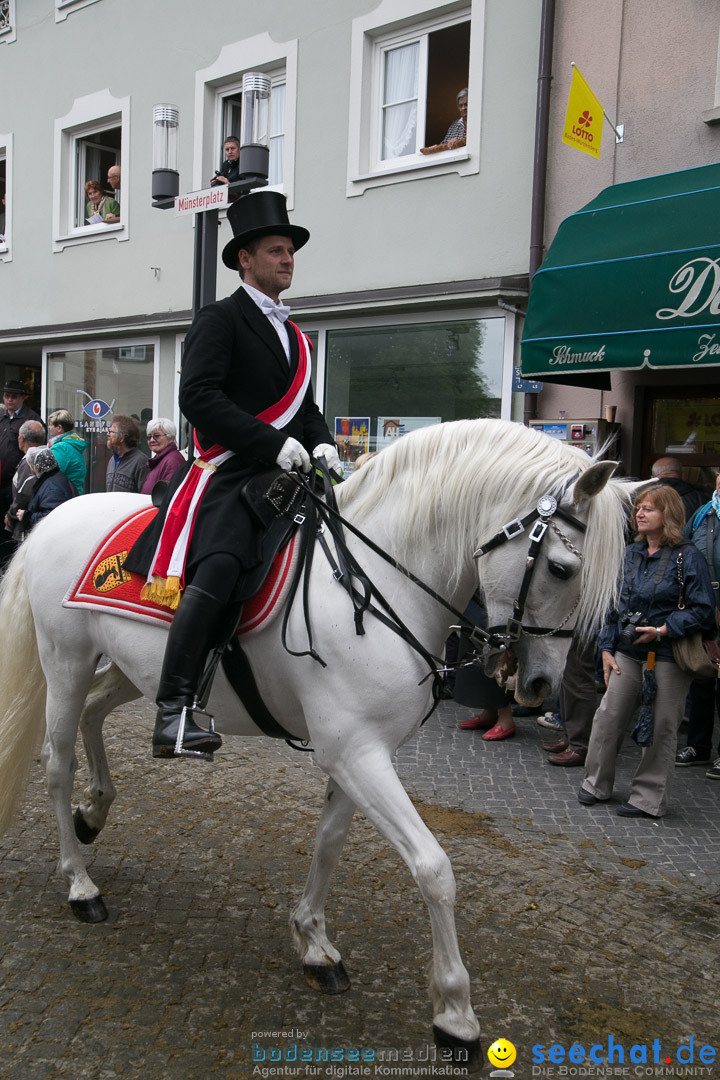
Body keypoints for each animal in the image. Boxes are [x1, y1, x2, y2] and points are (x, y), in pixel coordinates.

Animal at [0, 419, 630, 1054]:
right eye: (562, 569)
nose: (542, 684)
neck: (379, 586)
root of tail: (55, 517)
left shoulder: (361, 752)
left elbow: (329, 841)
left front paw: (314, 943)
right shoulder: (356, 753)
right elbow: (433, 868)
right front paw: (454, 1011)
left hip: (134, 672)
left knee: (96, 716)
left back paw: (95, 811)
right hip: (66, 662)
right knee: (57, 763)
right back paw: (80, 882)